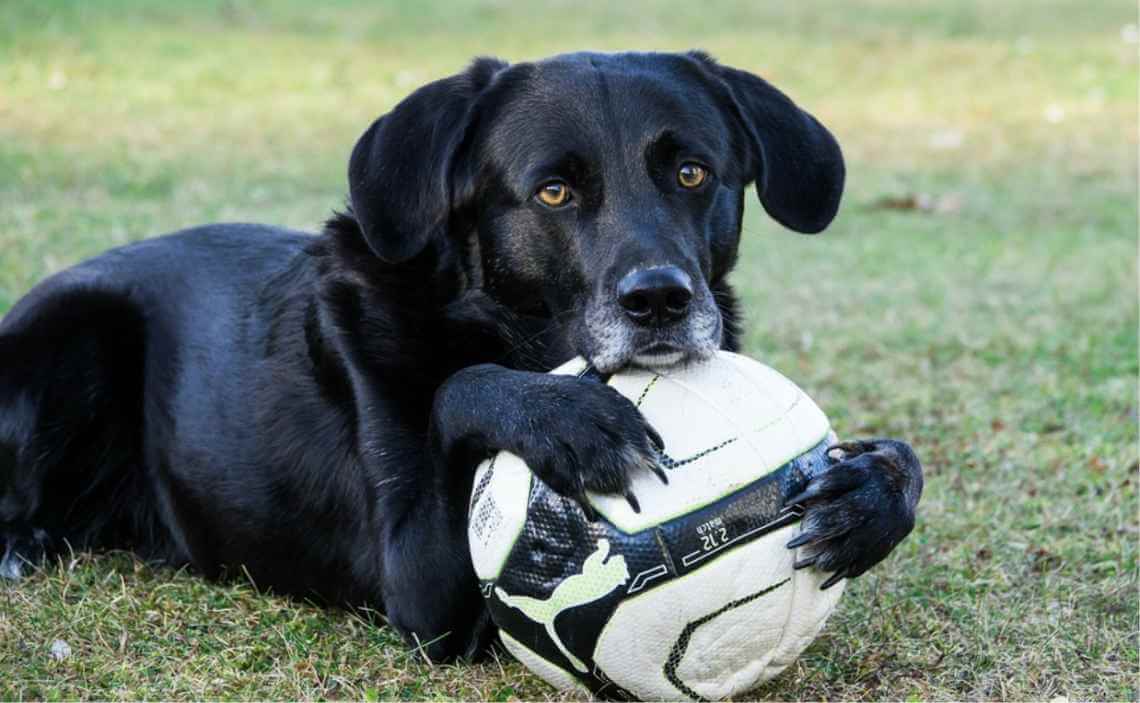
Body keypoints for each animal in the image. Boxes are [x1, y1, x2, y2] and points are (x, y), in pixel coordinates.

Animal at [0, 52, 921, 660]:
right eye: (554, 190)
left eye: (693, 173)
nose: (660, 300)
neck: (503, 327)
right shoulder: (424, 588)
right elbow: (459, 386)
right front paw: (568, 418)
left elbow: (902, 458)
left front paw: (869, 493)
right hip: (71, 337)